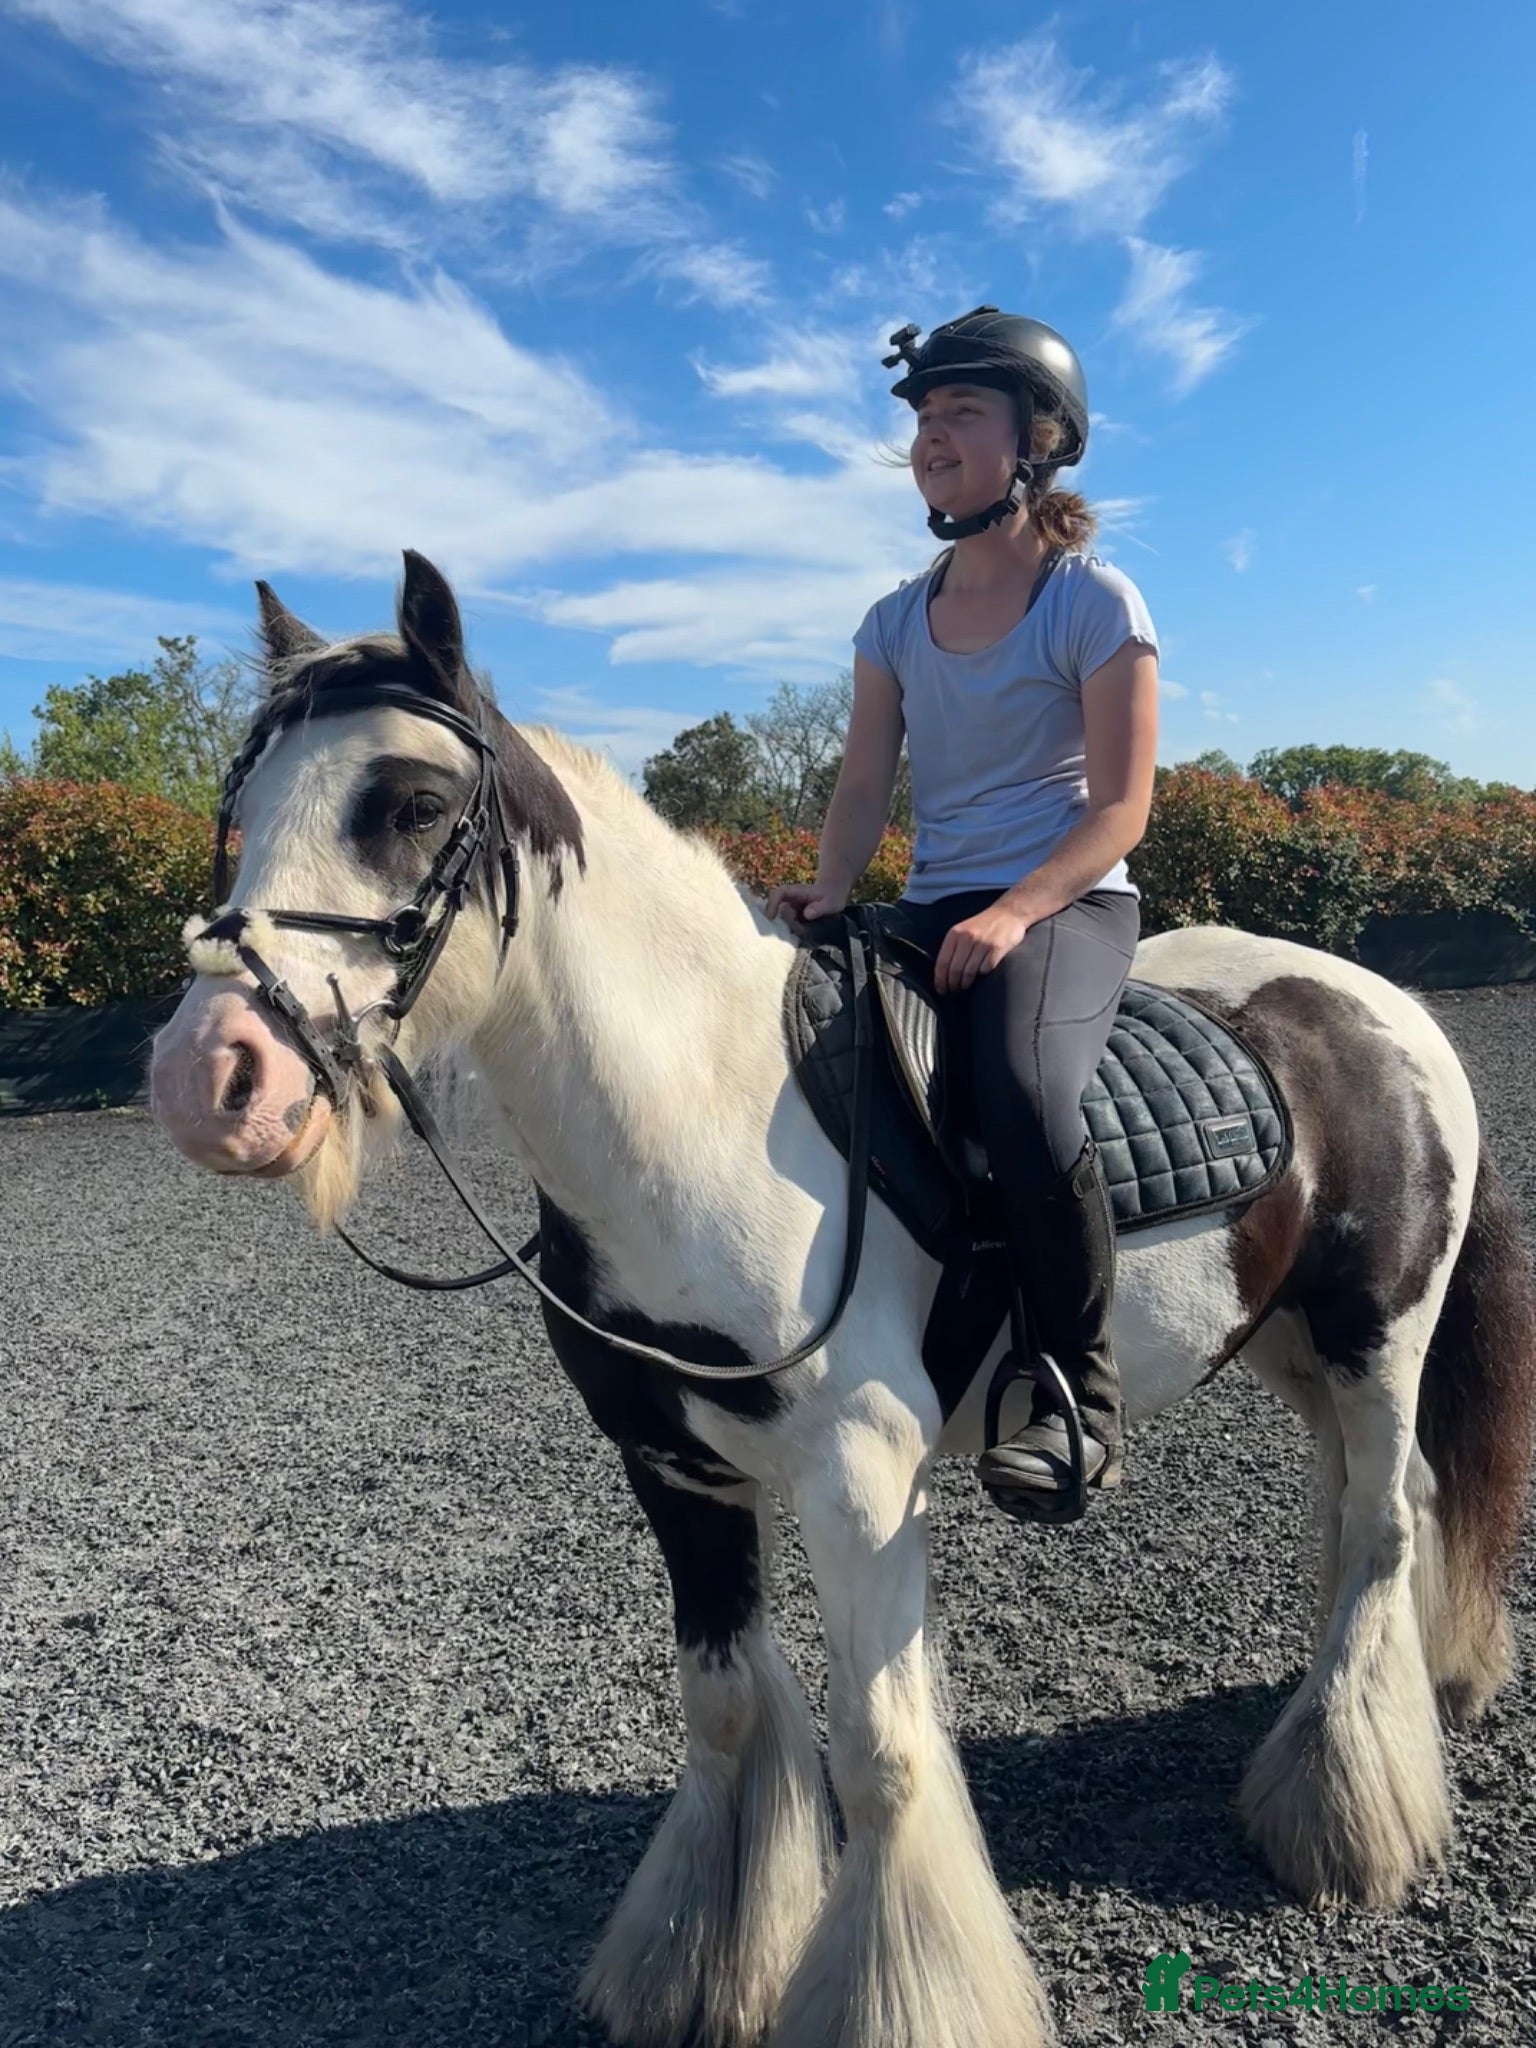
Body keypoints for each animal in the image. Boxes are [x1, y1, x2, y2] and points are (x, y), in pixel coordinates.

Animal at [149, 551, 1536, 2048]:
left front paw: (899, 1994)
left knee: (1387, 1525)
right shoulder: (674, 1470)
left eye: (406, 806)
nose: (208, 1078)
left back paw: (1341, 1818)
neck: (702, 1111)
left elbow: (880, 1754)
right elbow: (727, 1715)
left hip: (1376, 1336)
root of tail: (1382, 1003)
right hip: (1288, 1341)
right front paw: (701, 1967)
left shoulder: (859, 1472)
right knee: (1366, 1514)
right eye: (241, 813)